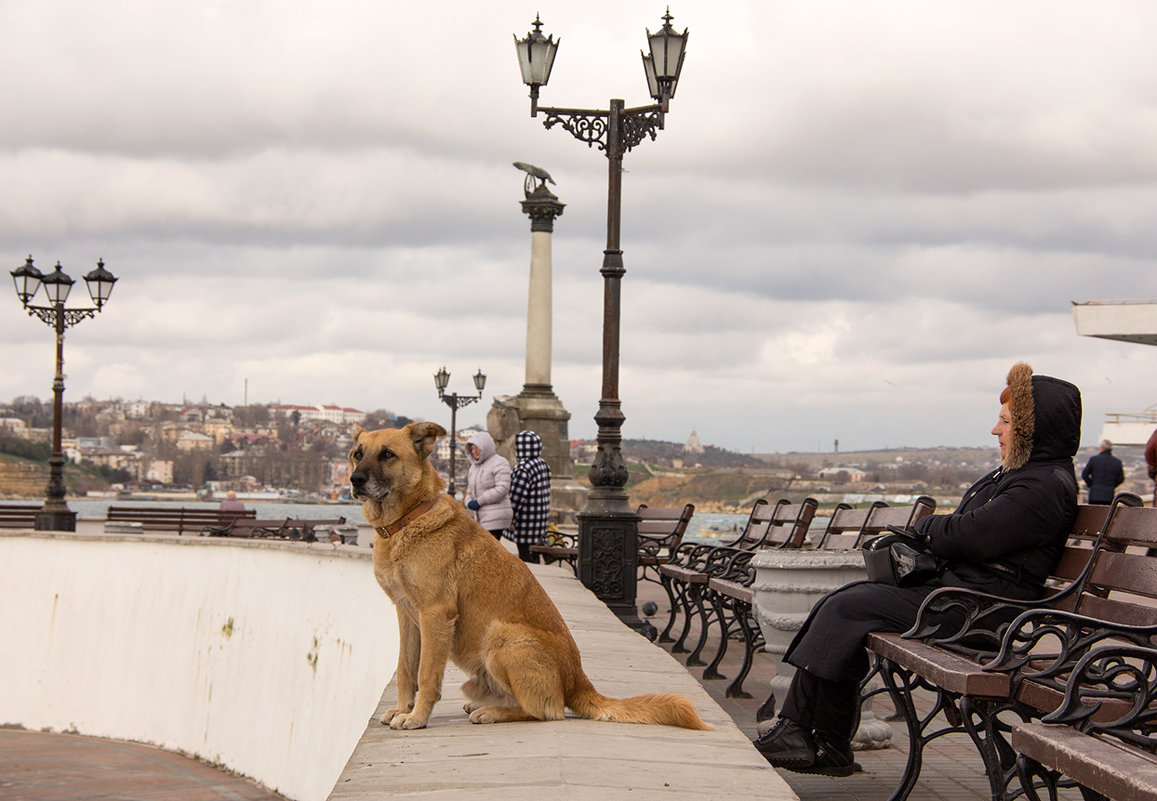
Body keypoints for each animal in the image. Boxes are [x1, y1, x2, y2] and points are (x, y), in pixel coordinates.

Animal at [347, 419, 708, 731]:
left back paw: (493, 712)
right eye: (357, 454)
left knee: (546, 710)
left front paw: (418, 717)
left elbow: (426, 673)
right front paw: (403, 709)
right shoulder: (407, 615)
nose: (355, 481)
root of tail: (578, 681)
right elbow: (406, 669)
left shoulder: (435, 614)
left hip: (502, 635)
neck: (407, 520)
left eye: (388, 454)